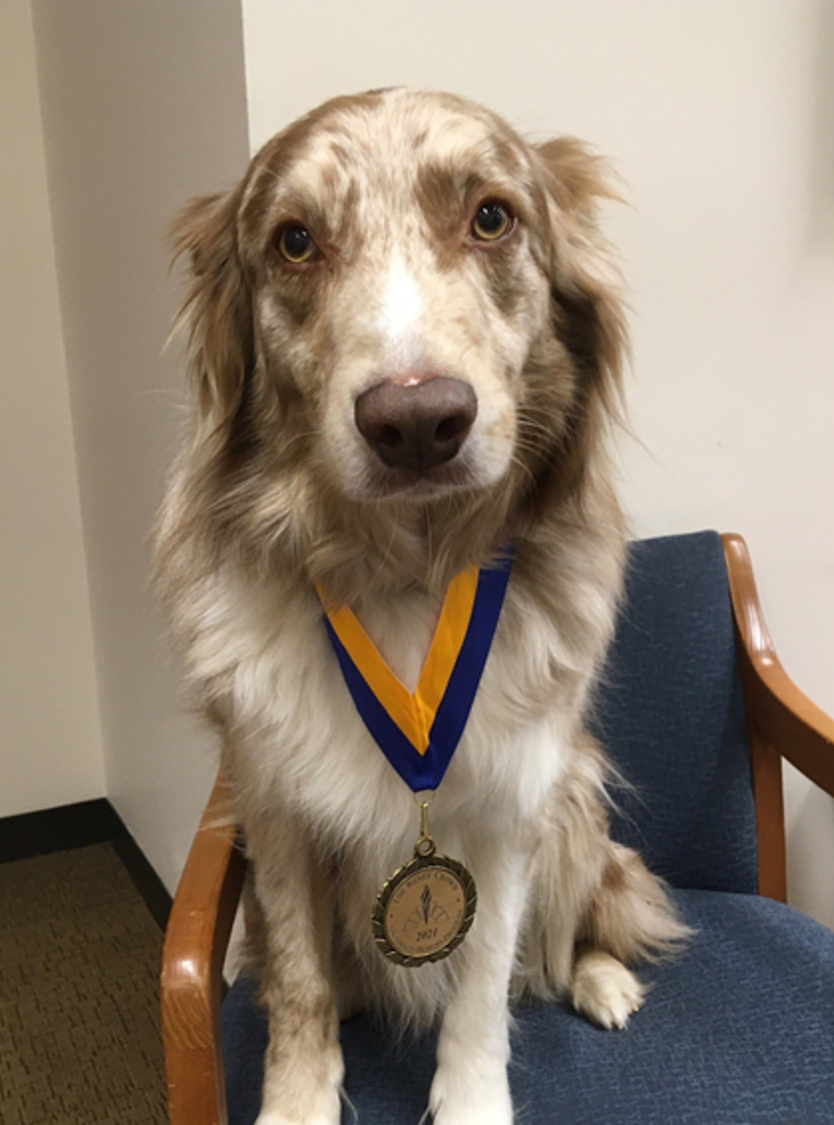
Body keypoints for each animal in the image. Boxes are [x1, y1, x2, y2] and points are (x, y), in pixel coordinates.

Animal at [154, 87, 684, 1125]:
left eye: (492, 218)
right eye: (294, 241)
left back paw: (600, 978)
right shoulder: (270, 800)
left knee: (582, 921)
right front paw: (298, 1101)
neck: (403, 568)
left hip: (577, 796)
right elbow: (300, 980)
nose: (416, 422)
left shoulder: (513, 800)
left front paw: (472, 1098)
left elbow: (481, 979)